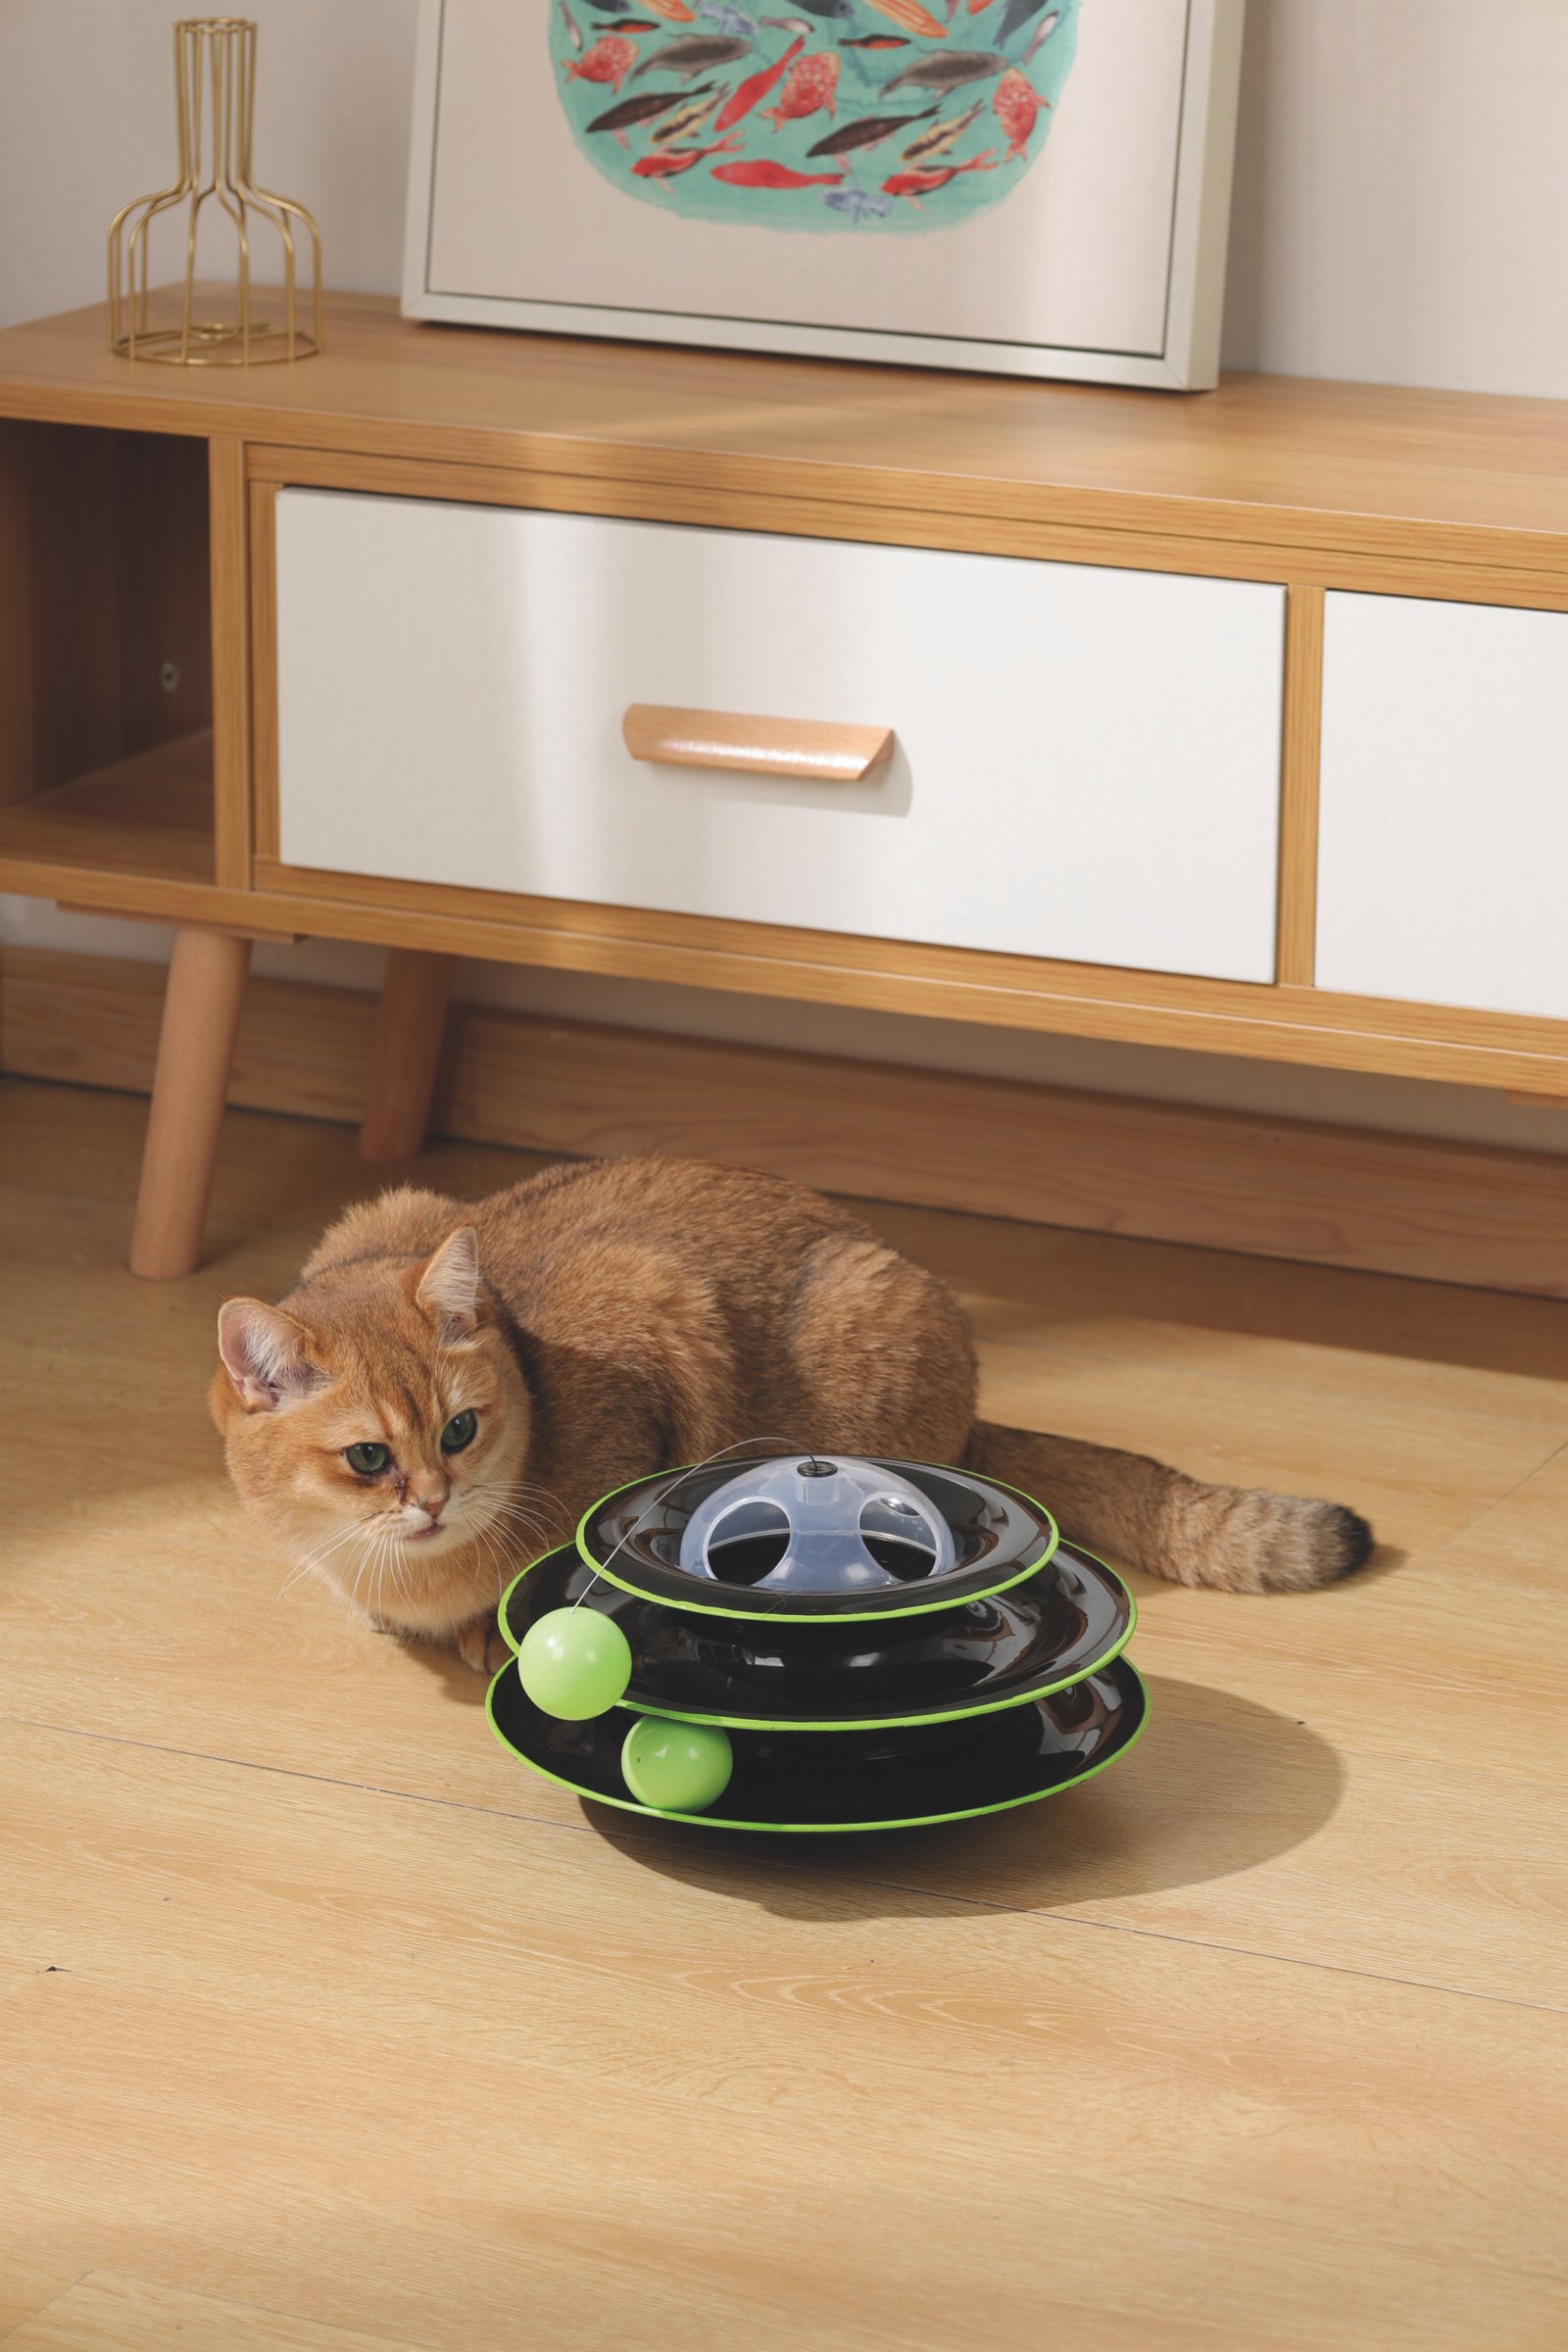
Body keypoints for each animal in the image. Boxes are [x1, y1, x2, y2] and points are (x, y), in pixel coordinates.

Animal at [211, 1156, 1374, 1669]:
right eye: (369, 1458)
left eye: (461, 1429)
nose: (432, 1500)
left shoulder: (656, 1306)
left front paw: (496, 1635)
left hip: (870, 1325)